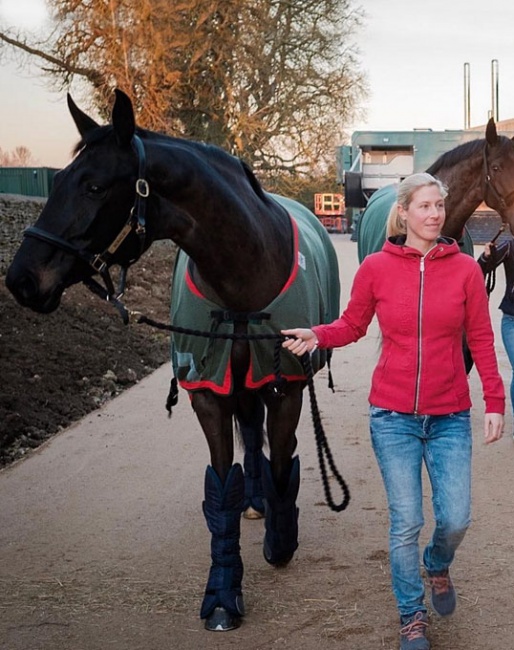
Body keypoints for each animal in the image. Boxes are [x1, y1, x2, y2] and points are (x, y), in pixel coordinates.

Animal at [5, 90, 340, 628]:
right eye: (54, 182)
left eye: (95, 186)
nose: (21, 280)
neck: (245, 273)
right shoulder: (209, 389)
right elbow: (221, 488)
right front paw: (223, 593)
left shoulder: (285, 385)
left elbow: (283, 462)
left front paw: (281, 542)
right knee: (251, 433)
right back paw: (254, 501)